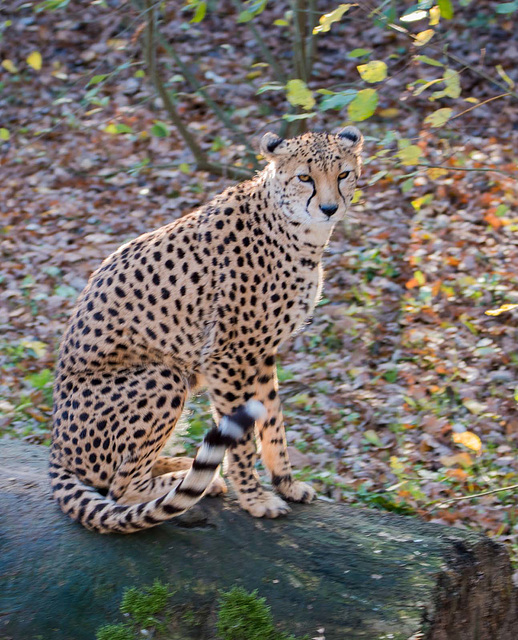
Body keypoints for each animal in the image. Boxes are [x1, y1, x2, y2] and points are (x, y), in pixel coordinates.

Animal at [48, 124, 366, 528]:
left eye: (343, 174)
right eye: (305, 177)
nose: (329, 208)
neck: (297, 230)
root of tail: (56, 451)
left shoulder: (262, 355)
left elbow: (273, 423)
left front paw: (287, 483)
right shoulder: (229, 358)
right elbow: (243, 440)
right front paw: (254, 497)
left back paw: (187, 466)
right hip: (163, 376)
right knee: (121, 487)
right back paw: (198, 481)